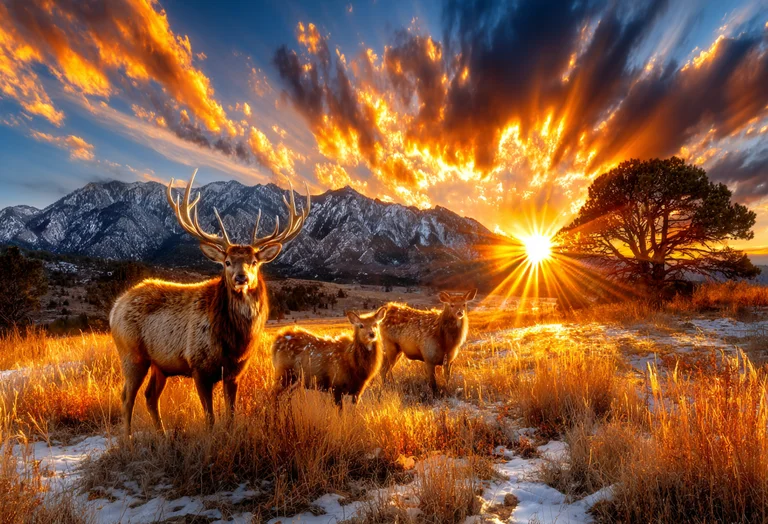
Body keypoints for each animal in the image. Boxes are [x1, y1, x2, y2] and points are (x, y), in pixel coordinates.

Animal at [110, 169, 310, 437]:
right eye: (226, 262)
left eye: (254, 262)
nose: (241, 278)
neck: (234, 342)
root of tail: (114, 308)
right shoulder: (199, 366)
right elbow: (210, 417)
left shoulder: (235, 371)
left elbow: (231, 413)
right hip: (131, 353)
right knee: (126, 396)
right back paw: (129, 438)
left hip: (160, 364)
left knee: (150, 396)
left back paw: (163, 435)